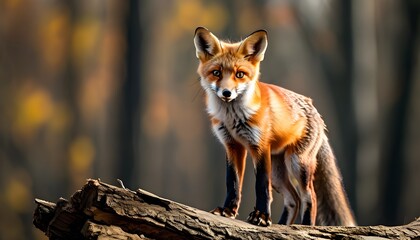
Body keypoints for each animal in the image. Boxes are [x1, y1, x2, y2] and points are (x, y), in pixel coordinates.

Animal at [194, 27, 354, 226]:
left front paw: (261, 216)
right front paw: (228, 211)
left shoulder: (259, 147)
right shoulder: (232, 146)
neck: (232, 117)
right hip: (278, 174)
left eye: (239, 75)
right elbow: (233, 182)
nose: (226, 93)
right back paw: (282, 225)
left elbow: (261, 186)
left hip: (297, 164)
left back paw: (305, 226)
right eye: (216, 73)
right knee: (294, 199)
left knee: (310, 197)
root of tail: (317, 114)